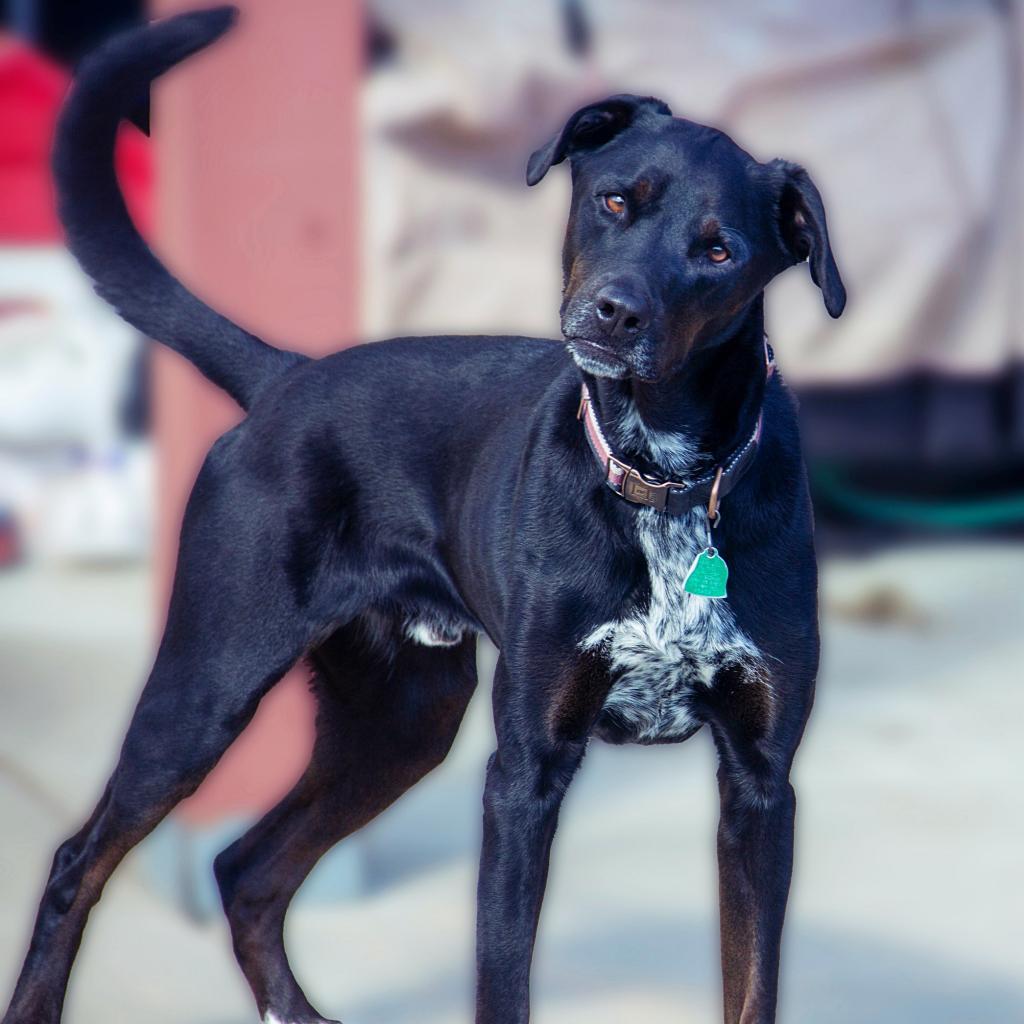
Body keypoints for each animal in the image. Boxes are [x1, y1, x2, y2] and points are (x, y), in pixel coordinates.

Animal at [2, 8, 839, 1024]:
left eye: (719, 252)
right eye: (613, 202)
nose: (614, 312)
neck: (665, 478)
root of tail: (287, 377)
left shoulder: (761, 785)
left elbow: (751, 984)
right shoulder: (524, 773)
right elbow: (502, 980)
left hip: (404, 719)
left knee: (246, 869)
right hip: (208, 685)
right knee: (77, 862)